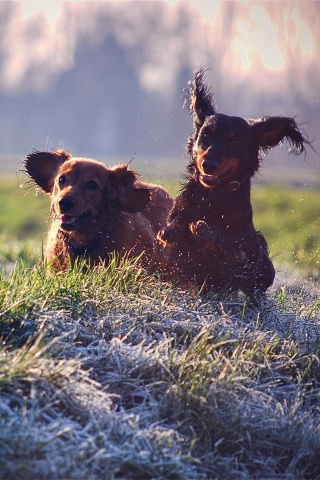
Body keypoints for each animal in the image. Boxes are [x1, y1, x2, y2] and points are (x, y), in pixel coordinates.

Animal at [158, 70, 308, 298]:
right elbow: (175, 231)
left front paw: (206, 231)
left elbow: (231, 247)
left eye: (234, 141)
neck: (213, 195)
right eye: (206, 135)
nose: (208, 165)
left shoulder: (244, 251)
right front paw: (174, 231)